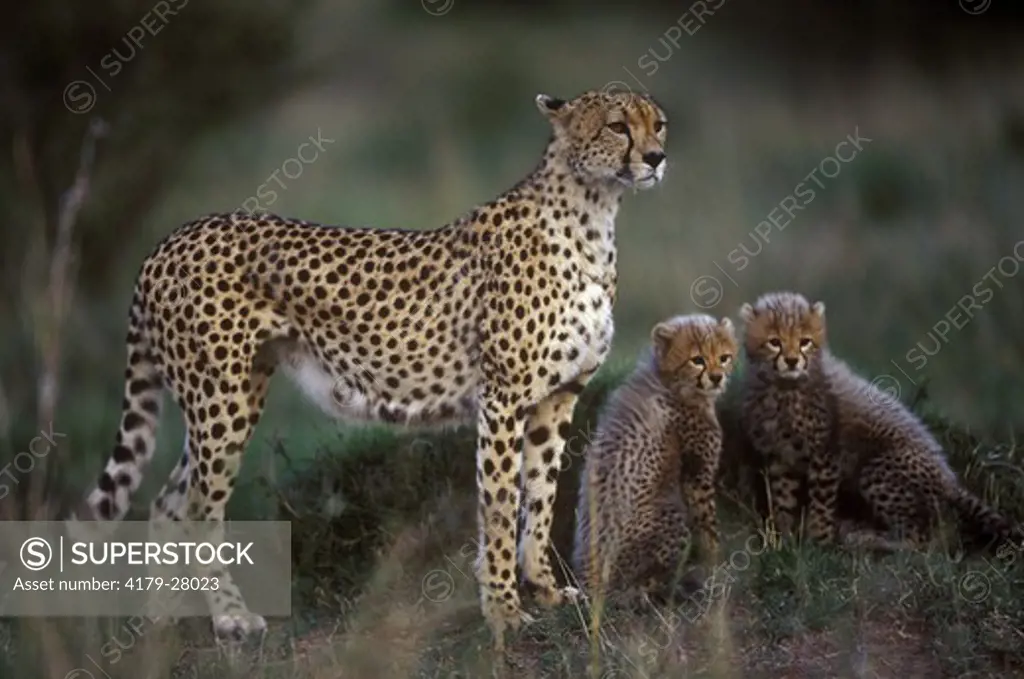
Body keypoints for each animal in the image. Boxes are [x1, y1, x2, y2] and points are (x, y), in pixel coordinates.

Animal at [77, 87, 671, 647]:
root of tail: (169, 240)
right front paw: (503, 612)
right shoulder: (502, 400)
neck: (594, 214)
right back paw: (229, 619)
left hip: (227, 397)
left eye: (658, 123)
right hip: (221, 400)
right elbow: (502, 508)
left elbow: (541, 497)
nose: (658, 157)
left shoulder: (556, 397)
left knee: (167, 502)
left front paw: (544, 590)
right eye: (618, 126)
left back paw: (157, 626)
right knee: (199, 509)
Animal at [573, 315, 733, 602]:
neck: (670, 382)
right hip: (670, 514)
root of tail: (589, 582)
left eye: (724, 357)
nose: (717, 378)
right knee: (628, 590)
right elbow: (709, 526)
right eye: (697, 359)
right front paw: (717, 565)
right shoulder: (698, 476)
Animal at [741, 292, 1019, 553]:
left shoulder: (825, 455)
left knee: (921, 540)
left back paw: (866, 539)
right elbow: (782, 500)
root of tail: (949, 479)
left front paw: (819, 544)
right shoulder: (780, 456)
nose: (791, 361)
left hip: (877, 470)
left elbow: (821, 504)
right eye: (774, 342)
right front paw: (783, 540)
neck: (783, 388)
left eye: (804, 342)